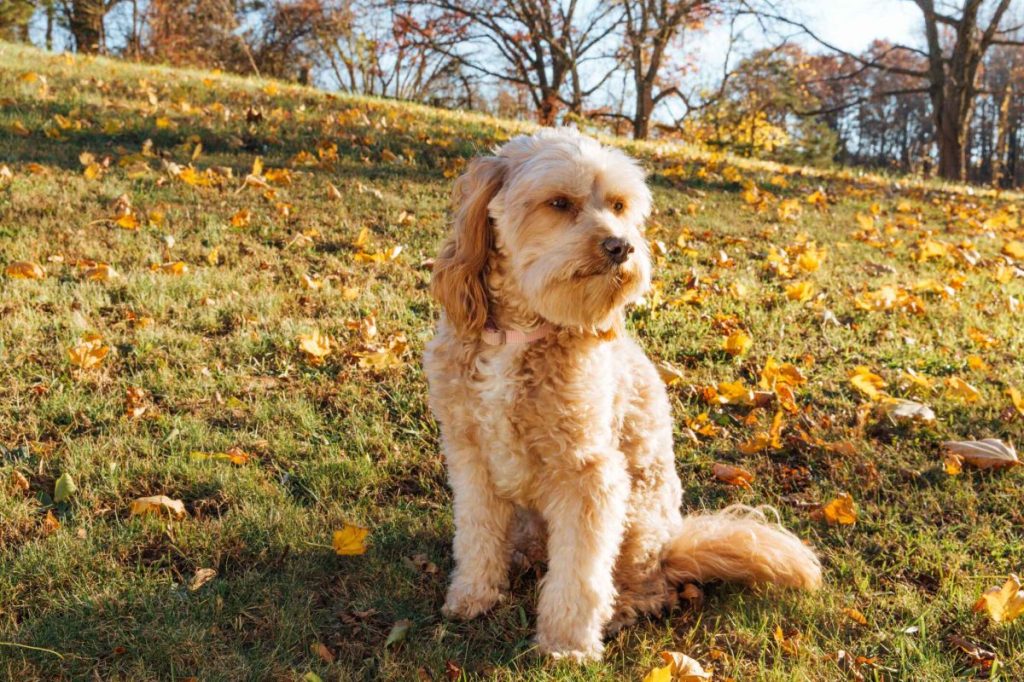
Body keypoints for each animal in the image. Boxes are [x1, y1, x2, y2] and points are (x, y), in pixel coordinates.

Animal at [419, 127, 819, 659]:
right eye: (559, 202)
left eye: (619, 205)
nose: (621, 246)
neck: (522, 334)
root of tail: (674, 545)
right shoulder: (471, 457)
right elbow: (477, 534)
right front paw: (472, 594)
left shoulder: (589, 473)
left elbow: (581, 572)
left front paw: (567, 643)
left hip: (640, 520)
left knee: (644, 584)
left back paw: (621, 608)